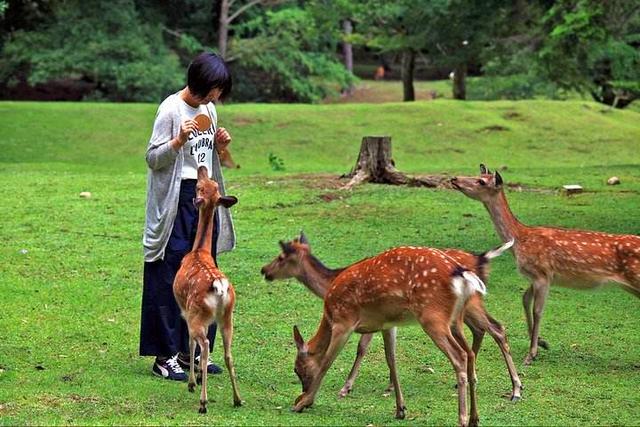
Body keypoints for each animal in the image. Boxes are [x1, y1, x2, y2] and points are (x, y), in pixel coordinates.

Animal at [172, 166, 242, 412]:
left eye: (199, 187)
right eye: (209, 184)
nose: (202, 169)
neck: (198, 251)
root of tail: (219, 288)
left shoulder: (185, 311)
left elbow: (190, 344)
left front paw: (193, 382)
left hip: (198, 314)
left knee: (204, 346)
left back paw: (202, 401)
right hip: (228, 316)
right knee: (228, 353)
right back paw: (237, 399)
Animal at [262, 231, 524, 402]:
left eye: (281, 257)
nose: (264, 270)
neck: (330, 282)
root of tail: (482, 259)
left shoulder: (360, 320)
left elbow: (362, 348)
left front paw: (347, 387)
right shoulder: (385, 321)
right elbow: (387, 353)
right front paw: (389, 386)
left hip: (468, 306)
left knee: (495, 329)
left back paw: (515, 389)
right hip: (462, 311)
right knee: (483, 331)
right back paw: (476, 378)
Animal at [284, 242, 490, 426]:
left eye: (297, 368)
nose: (303, 390)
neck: (328, 314)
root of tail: (462, 275)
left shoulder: (344, 321)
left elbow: (326, 361)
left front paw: (303, 403)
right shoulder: (388, 325)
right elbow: (391, 360)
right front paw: (400, 409)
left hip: (433, 316)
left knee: (460, 355)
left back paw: (462, 419)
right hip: (456, 320)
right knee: (470, 353)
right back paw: (474, 418)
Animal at [450, 164, 640, 364]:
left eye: (481, 181)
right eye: (476, 175)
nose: (454, 179)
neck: (519, 240)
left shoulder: (543, 274)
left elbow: (538, 310)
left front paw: (531, 354)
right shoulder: (535, 277)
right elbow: (525, 300)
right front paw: (542, 342)